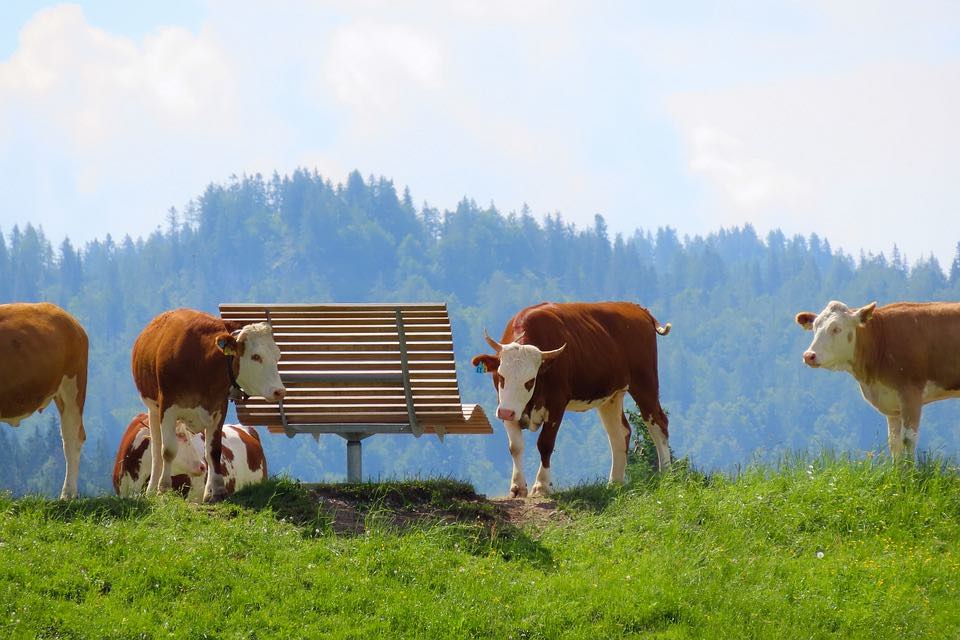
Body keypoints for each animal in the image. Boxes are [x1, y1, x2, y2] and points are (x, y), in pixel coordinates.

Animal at [130, 308, 284, 502]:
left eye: (277, 356)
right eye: (255, 356)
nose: (280, 391)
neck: (201, 362)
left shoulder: (218, 407)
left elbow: (214, 450)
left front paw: (216, 491)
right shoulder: (168, 407)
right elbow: (169, 450)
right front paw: (163, 489)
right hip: (153, 410)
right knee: (157, 450)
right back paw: (152, 489)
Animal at [470, 302, 668, 498]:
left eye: (530, 381)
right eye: (501, 376)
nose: (505, 412)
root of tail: (637, 308)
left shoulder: (557, 404)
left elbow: (545, 444)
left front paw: (541, 485)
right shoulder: (506, 404)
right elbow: (516, 446)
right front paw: (517, 487)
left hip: (645, 383)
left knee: (659, 424)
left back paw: (665, 475)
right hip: (611, 396)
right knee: (620, 433)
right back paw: (614, 483)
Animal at [796, 300, 960, 460]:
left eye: (836, 329)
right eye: (815, 328)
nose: (809, 355)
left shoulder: (911, 393)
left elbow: (908, 439)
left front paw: (910, 468)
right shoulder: (892, 404)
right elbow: (894, 443)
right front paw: (898, 469)